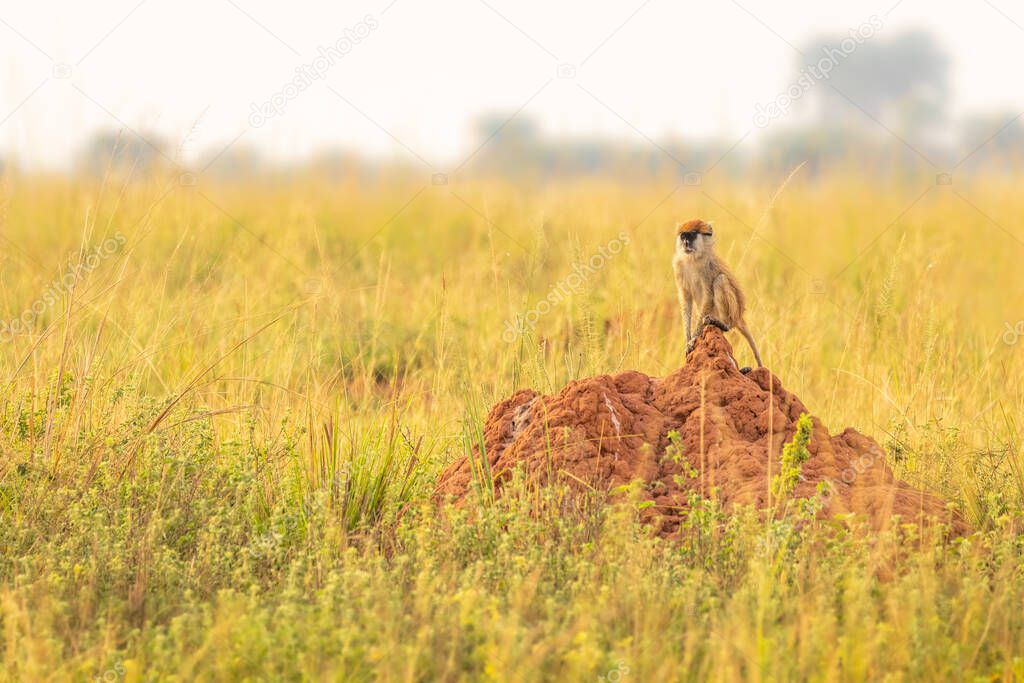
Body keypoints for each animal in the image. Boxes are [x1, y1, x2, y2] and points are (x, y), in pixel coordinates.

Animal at [671, 219, 761, 368]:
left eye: (692, 236)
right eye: (683, 236)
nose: (686, 243)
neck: (693, 258)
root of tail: (739, 315)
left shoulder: (707, 267)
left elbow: (708, 296)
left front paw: (693, 339)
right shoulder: (678, 265)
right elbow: (686, 300)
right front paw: (688, 338)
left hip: (731, 312)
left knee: (720, 280)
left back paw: (723, 324)